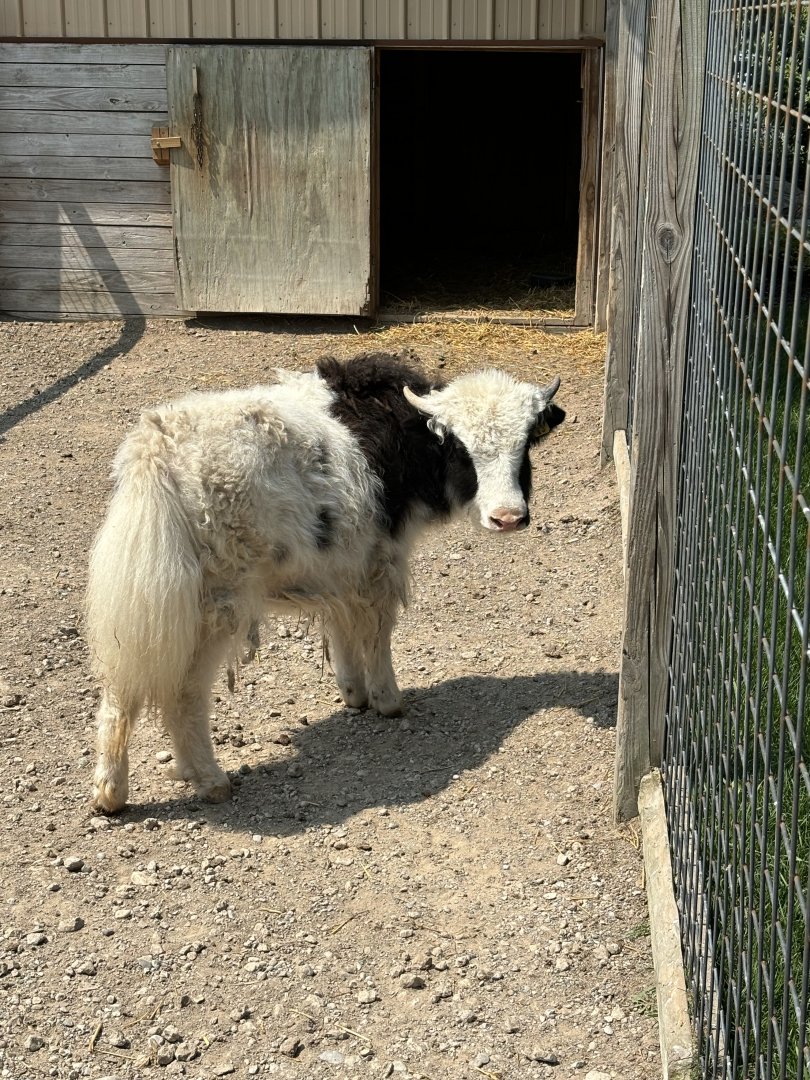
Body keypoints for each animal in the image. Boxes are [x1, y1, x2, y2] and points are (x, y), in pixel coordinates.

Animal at [85, 353, 564, 812]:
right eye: (460, 447)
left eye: (525, 443)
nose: (508, 518)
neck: (408, 434)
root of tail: (155, 450)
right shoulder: (381, 562)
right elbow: (377, 632)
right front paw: (388, 701)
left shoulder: (340, 567)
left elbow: (341, 625)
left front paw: (353, 693)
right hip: (214, 606)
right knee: (183, 693)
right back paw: (210, 781)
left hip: (144, 600)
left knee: (118, 689)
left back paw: (110, 794)